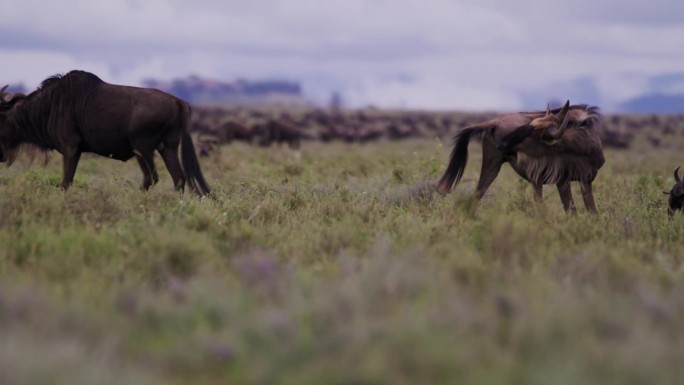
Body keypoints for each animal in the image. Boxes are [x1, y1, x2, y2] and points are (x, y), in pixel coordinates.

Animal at [0, 70, 208, 195]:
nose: (1, 157)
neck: (50, 105)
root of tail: (178, 101)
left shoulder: (70, 148)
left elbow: (65, 182)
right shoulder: (76, 151)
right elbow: (68, 181)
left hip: (143, 147)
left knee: (152, 178)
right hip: (167, 148)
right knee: (178, 178)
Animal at [438, 100, 604, 212]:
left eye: (531, 132)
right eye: (527, 126)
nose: (502, 144)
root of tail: (493, 121)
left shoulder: (586, 180)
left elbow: (591, 211)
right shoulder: (562, 180)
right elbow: (572, 210)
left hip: (494, 167)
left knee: (477, 194)